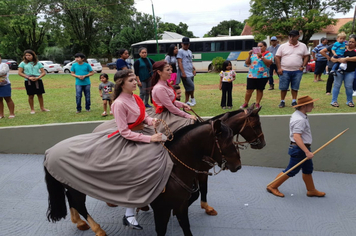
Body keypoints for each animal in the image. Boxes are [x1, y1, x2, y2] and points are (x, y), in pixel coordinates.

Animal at [43, 120, 239, 236]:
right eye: (228, 142)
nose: (237, 165)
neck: (174, 168)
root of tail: (50, 150)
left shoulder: (181, 205)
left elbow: (186, 227)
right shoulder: (162, 209)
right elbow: (162, 230)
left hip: (72, 183)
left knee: (72, 200)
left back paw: (79, 223)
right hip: (76, 186)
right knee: (79, 203)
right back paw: (97, 229)